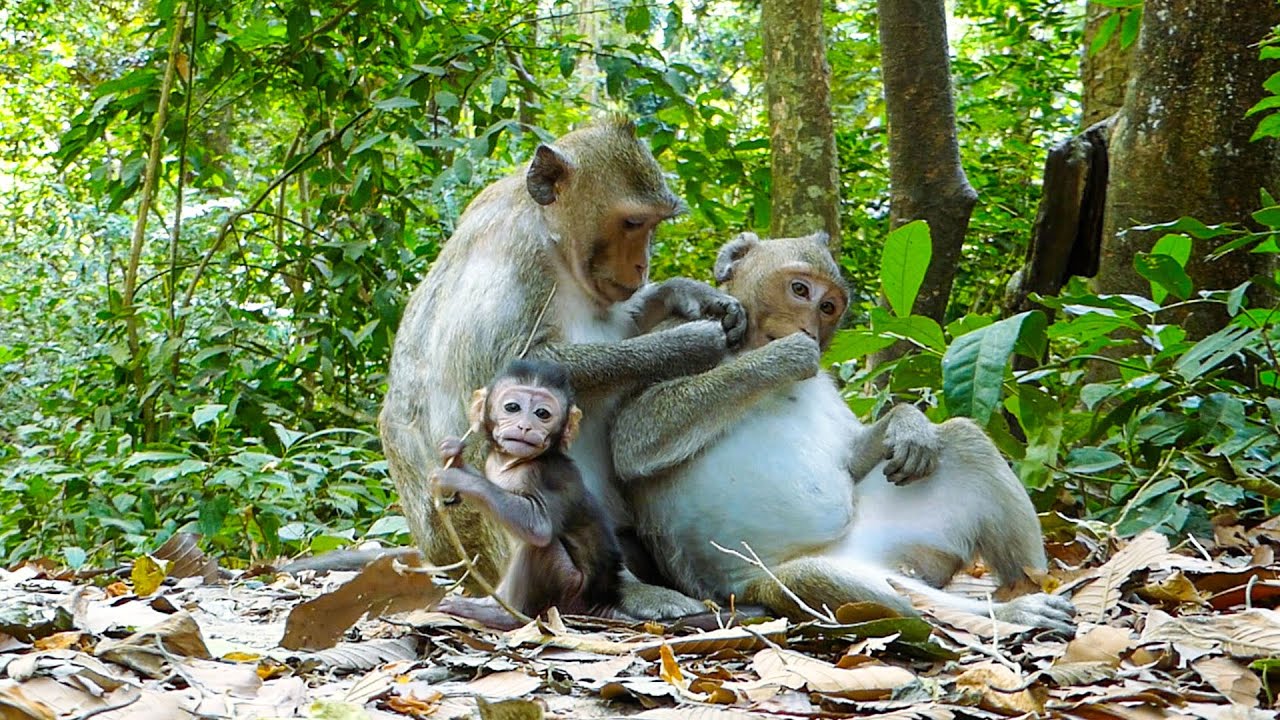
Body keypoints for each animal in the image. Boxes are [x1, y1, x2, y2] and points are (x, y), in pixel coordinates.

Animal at [432, 360, 622, 627]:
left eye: (543, 413)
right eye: (512, 407)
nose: (525, 426)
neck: (513, 462)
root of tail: (599, 605)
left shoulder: (546, 474)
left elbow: (538, 527)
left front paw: (456, 477)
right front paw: (453, 455)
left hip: (568, 593)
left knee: (539, 547)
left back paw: (504, 617)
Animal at [610, 231, 1076, 632]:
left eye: (829, 307)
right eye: (800, 290)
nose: (810, 330)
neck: (749, 343)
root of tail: (876, 561)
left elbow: (852, 460)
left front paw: (908, 422)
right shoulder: (675, 337)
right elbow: (633, 438)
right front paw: (787, 354)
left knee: (964, 440)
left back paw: (1028, 592)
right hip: (767, 582)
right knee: (819, 580)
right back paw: (1005, 614)